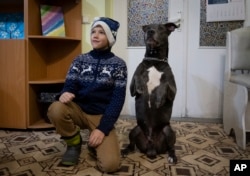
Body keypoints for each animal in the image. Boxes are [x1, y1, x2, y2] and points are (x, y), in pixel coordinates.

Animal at [122, 22, 179, 164]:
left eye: (161, 28)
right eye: (147, 28)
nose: (150, 32)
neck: (155, 60)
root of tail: (151, 149)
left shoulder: (173, 92)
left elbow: (164, 85)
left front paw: (158, 99)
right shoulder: (131, 88)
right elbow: (138, 75)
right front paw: (141, 86)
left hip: (168, 131)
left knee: (171, 147)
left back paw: (172, 157)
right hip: (135, 129)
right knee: (131, 145)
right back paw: (125, 150)